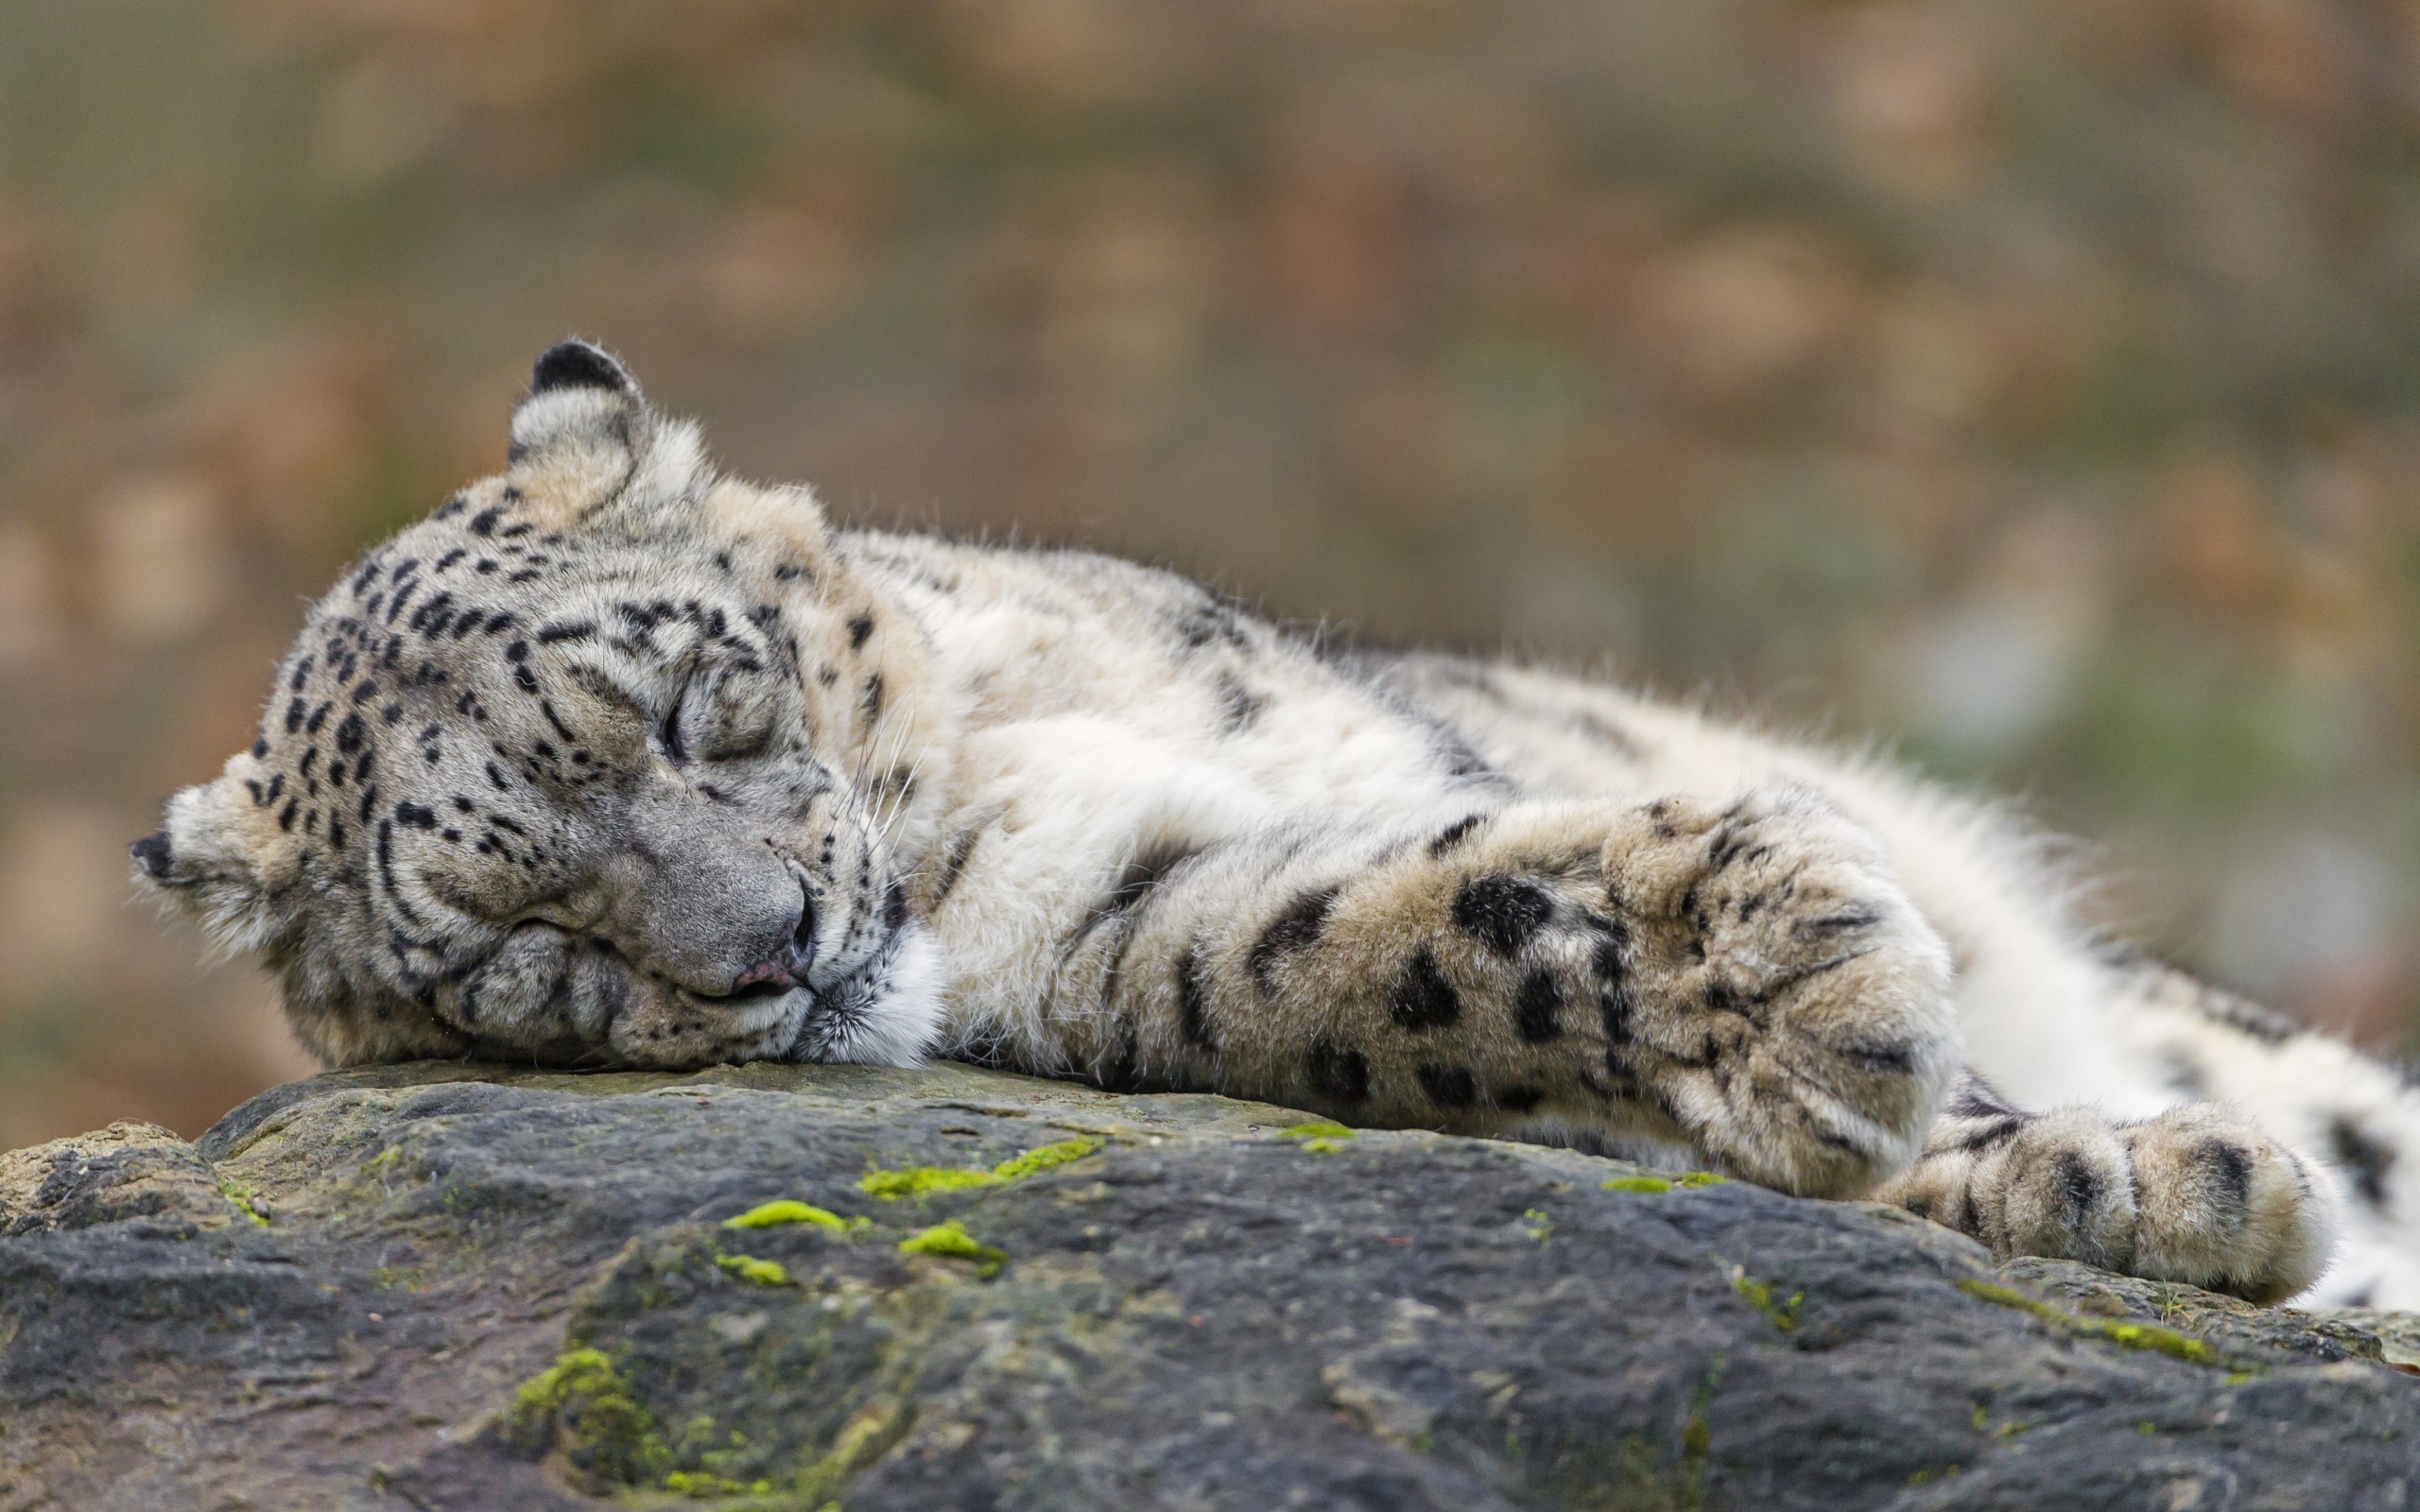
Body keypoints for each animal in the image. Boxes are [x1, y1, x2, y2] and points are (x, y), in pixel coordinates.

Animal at [137, 340, 2420, 1306]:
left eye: (710, 701)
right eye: (527, 949)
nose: (774, 945)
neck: (999, 764)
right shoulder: (1146, 942)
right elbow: (1406, 935)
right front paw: (1876, 1041)